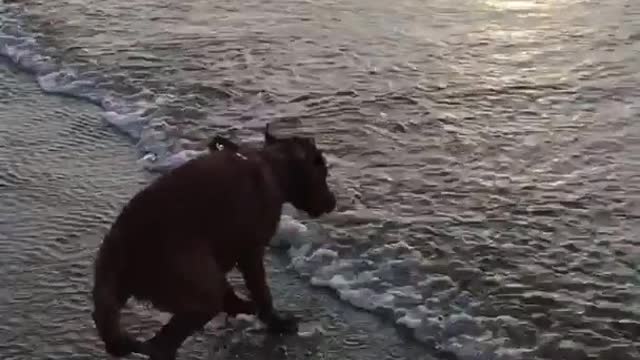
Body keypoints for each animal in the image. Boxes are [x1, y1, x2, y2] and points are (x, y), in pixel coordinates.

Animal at [92, 124, 338, 360]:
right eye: (323, 171)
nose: (333, 202)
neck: (272, 166)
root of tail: (121, 247)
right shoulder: (250, 252)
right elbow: (262, 292)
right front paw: (276, 322)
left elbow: (230, 288)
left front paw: (239, 305)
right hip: (200, 291)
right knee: (162, 344)